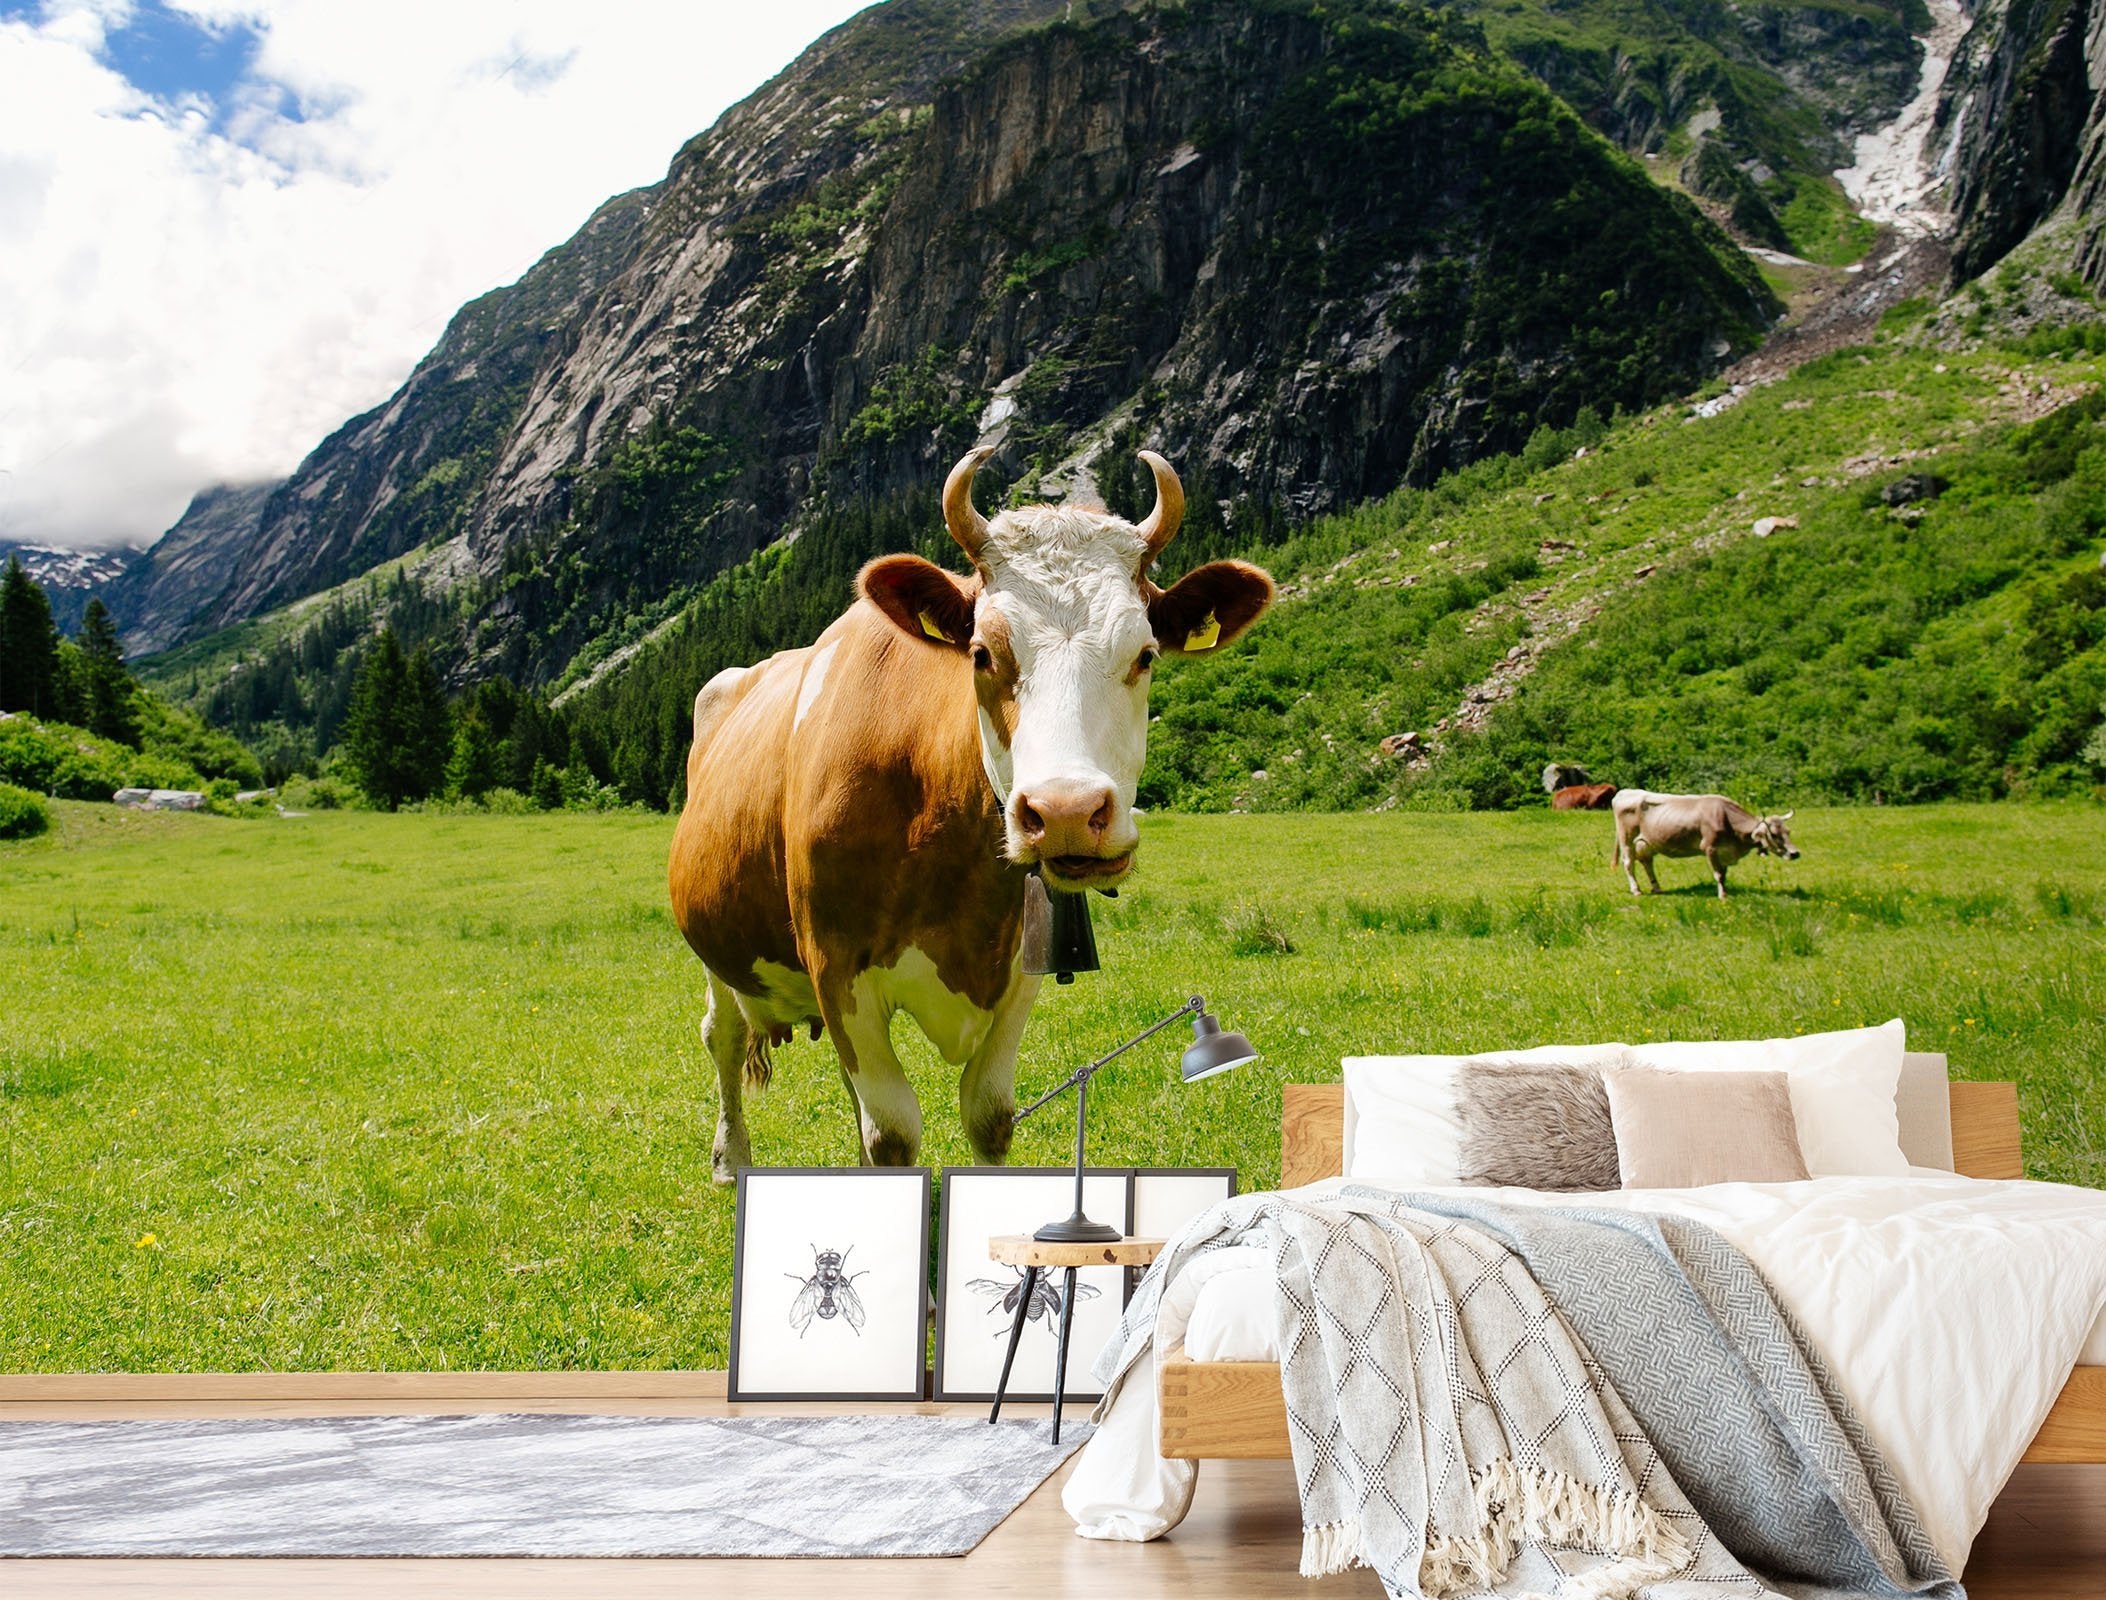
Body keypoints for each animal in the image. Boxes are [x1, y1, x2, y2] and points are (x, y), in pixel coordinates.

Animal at [668, 449, 1274, 1181]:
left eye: (1147, 654)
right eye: (983, 652)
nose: (1066, 812)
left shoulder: (1017, 972)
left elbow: (988, 1116)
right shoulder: (836, 969)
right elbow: (892, 1133)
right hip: (716, 948)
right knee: (723, 1037)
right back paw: (731, 1162)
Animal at [1611, 789, 1799, 900]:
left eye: (1788, 831)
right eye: (1774, 834)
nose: (1795, 853)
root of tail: (1623, 792)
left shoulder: (1724, 852)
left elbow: (1724, 874)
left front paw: (1725, 891)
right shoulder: (1710, 848)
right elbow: (1719, 875)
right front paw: (1723, 896)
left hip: (1646, 843)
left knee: (1647, 862)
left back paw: (1657, 888)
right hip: (1627, 839)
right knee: (1629, 863)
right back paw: (1636, 890)